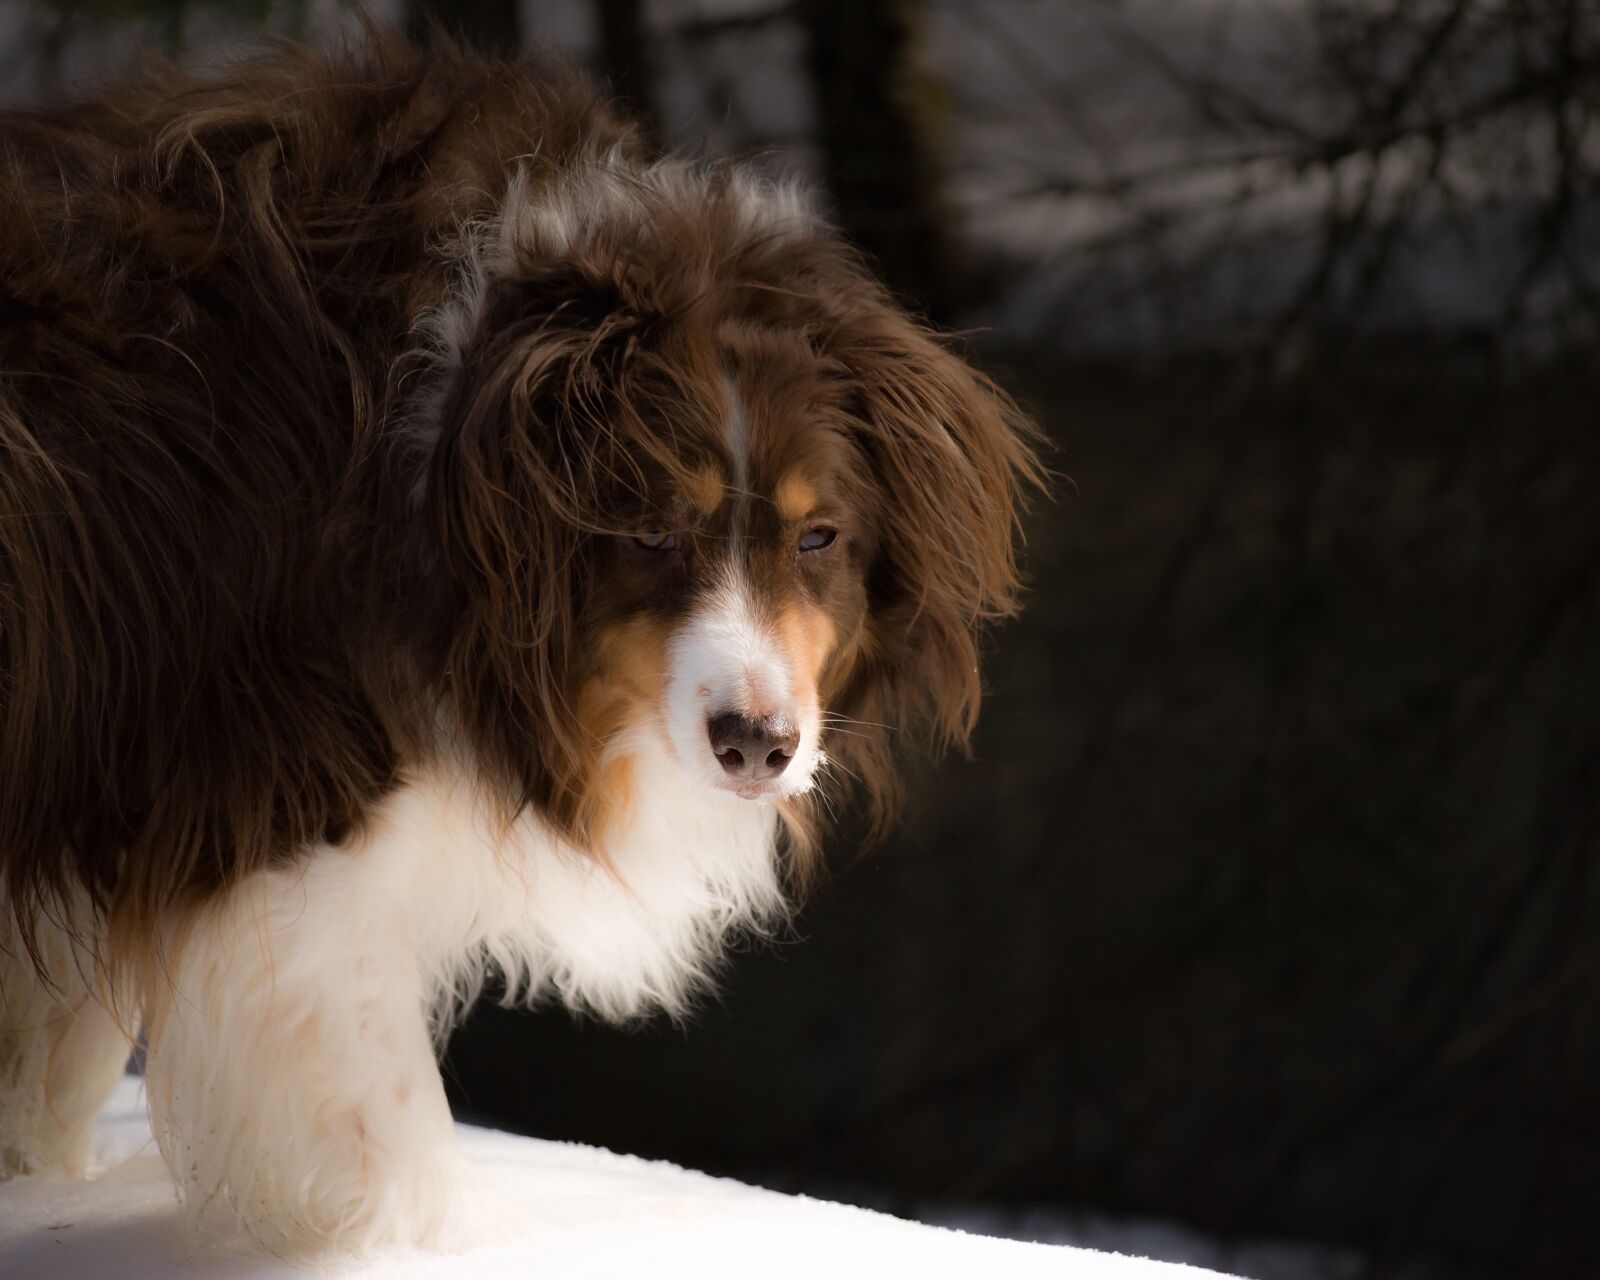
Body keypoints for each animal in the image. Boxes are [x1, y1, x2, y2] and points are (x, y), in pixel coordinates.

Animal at [0, 37, 1043, 1248]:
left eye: (818, 535)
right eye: (649, 533)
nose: (757, 745)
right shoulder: (270, 747)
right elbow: (368, 1062)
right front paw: (450, 1238)